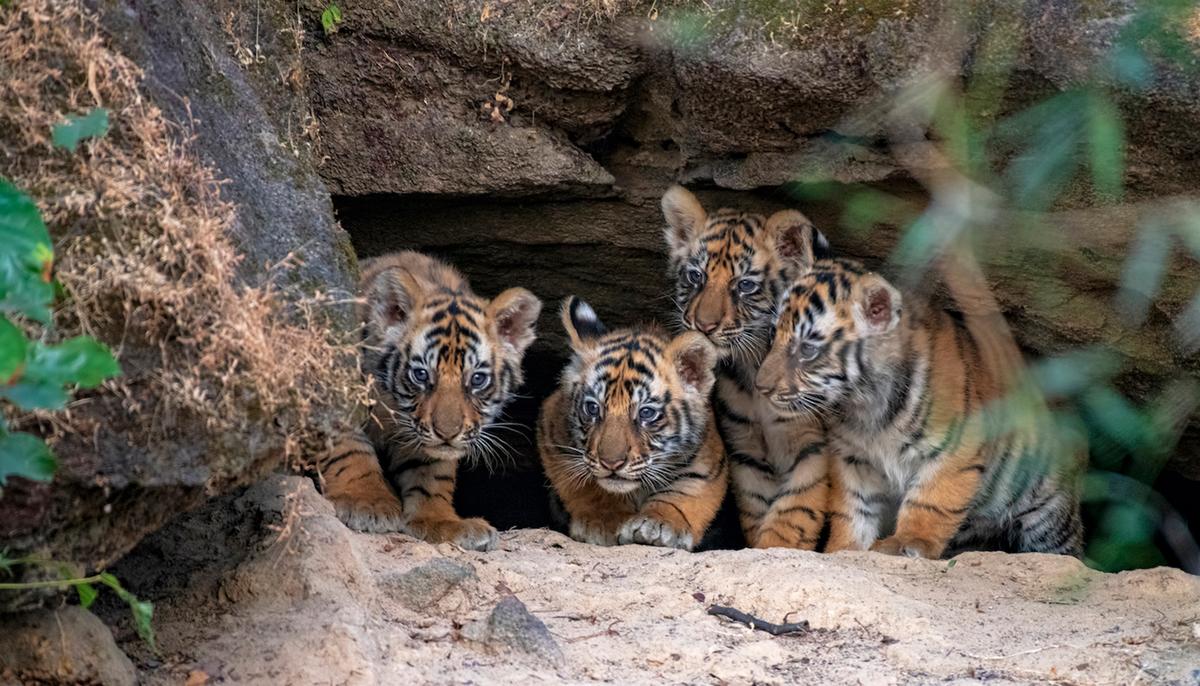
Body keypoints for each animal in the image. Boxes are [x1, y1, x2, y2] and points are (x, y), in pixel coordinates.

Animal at [317, 251, 542, 551]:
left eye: (477, 379)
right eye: (421, 374)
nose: (447, 433)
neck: (390, 407)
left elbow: (432, 475)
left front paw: (442, 521)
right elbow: (349, 449)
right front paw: (367, 501)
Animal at [537, 296, 728, 551]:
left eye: (646, 413)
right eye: (593, 408)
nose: (611, 463)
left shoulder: (708, 461)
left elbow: (683, 492)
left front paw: (658, 525)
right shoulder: (553, 434)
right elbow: (588, 486)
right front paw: (604, 522)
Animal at [661, 185, 836, 550]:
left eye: (744, 285)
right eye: (696, 276)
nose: (704, 326)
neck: (753, 366)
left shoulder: (812, 444)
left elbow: (795, 508)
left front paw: (778, 544)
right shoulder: (746, 447)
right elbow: (758, 506)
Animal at [755, 256, 1085, 558]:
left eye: (807, 349)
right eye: (773, 334)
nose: (761, 387)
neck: (864, 404)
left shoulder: (957, 449)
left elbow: (931, 501)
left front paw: (909, 542)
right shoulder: (851, 457)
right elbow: (853, 509)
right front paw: (844, 549)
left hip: (1049, 513)